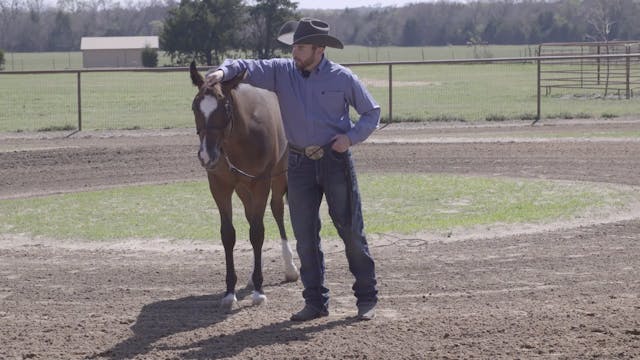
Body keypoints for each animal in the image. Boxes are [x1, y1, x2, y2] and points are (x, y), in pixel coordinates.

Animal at [190, 62, 300, 310]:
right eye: (195, 107)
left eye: (225, 108)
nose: (206, 155)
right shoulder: (219, 186)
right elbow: (228, 235)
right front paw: (229, 291)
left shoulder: (261, 182)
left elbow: (258, 233)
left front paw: (259, 290)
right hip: (242, 188)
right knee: (251, 217)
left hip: (278, 177)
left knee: (277, 211)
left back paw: (289, 267)